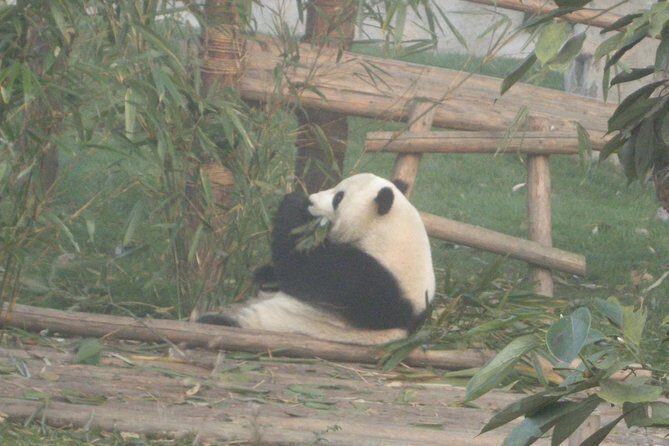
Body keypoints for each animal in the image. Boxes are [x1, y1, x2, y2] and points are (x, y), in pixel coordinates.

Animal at [199, 173, 435, 345]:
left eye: (338, 198)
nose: (311, 199)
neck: (388, 232)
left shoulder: (373, 281)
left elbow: (304, 273)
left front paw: (293, 202)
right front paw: (263, 274)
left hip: (269, 324)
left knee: (224, 322)